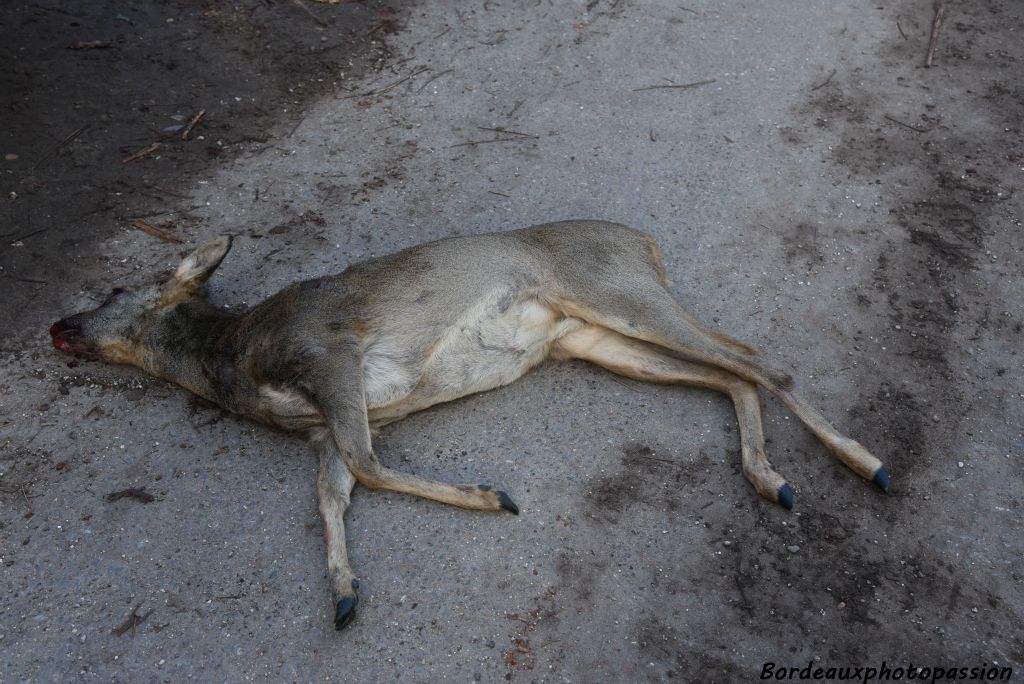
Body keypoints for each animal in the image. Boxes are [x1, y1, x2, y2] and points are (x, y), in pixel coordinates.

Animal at [48, 220, 884, 630]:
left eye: (115, 290)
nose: (57, 326)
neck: (233, 361)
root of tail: (644, 243)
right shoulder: (317, 429)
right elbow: (330, 495)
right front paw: (343, 591)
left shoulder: (330, 354)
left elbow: (369, 465)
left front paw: (492, 497)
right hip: (592, 339)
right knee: (732, 373)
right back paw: (769, 477)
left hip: (618, 293)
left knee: (760, 359)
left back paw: (863, 461)